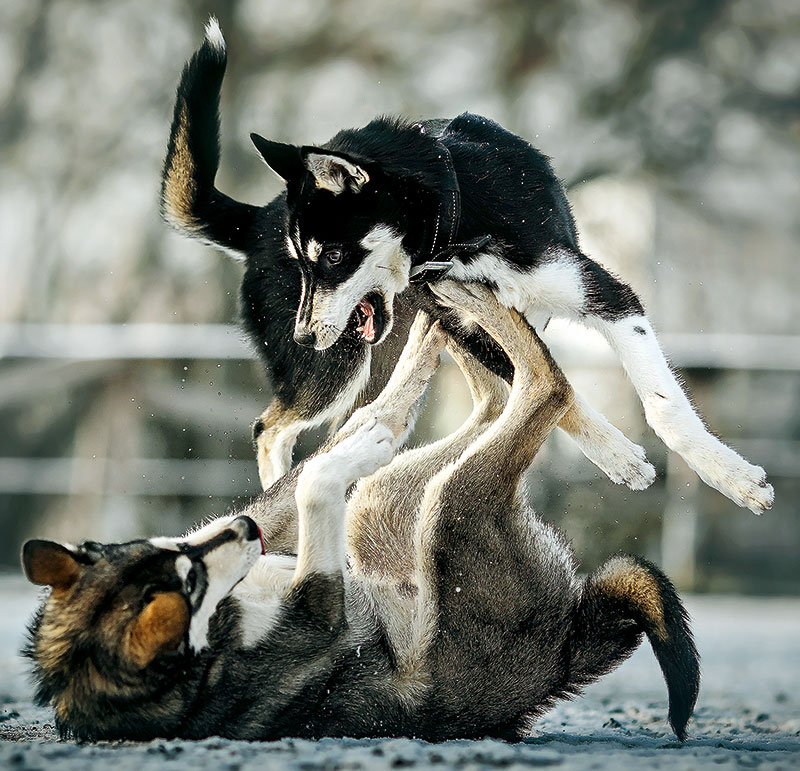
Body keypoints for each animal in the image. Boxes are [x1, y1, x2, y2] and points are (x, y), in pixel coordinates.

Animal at [21, 286, 700, 744]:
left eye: (176, 554)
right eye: (189, 580)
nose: (243, 532)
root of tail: (568, 645)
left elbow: (310, 472)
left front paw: (371, 417)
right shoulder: (318, 608)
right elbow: (318, 480)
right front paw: (368, 433)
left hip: (388, 502)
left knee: (493, 392)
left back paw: (442, 321)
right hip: (451, 511)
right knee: (541, 388)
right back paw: (467, 310)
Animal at [161, 19, 768, 520]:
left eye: (332, 256)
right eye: (301, 261)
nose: (304, 336)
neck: (456, 224)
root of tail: (256, 218)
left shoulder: (601, 297)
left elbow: (660, 406)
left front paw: (730, 477)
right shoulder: (469, 325)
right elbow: (563, 392)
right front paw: (618, 454)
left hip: (373, 362)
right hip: (339, 368)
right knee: (270, 429)